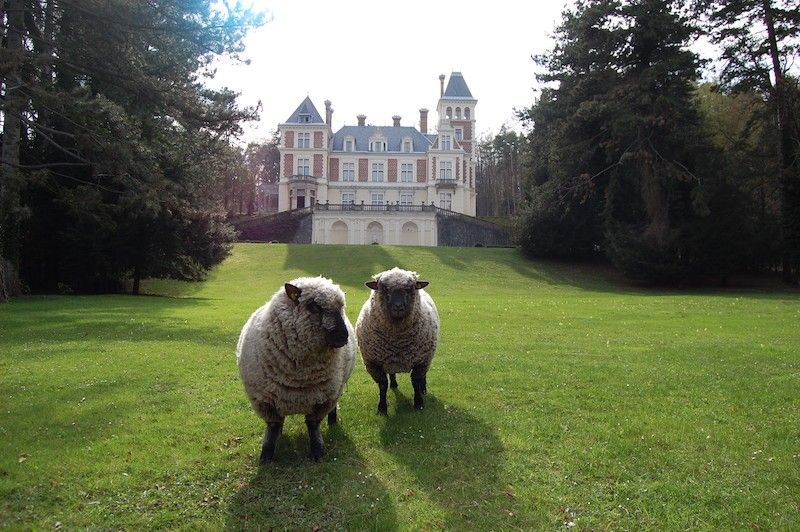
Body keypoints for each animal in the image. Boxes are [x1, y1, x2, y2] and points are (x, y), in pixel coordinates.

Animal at [236, 276, 356, 463]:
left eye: (341, 308)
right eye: (314, 306)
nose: (344, 336)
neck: (298, 375)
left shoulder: (323, 399)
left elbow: (313, 426)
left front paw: (318, 452)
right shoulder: (265, 400)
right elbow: (273, 426)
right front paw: (266, 456)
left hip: (336, 388)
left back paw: (333, 420)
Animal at [356, 267, 439, 415]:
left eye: (410, 288)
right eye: (384, 288)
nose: (398, 307)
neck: (397, 340)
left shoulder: (422, 360)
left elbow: (416, 381)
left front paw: (419, 403)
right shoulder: (373, 363)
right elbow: (382, 385)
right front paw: (382, 408)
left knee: (423, 377)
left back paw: (423, 389)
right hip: (390, 360)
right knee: (392, 373)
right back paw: (394, 384)